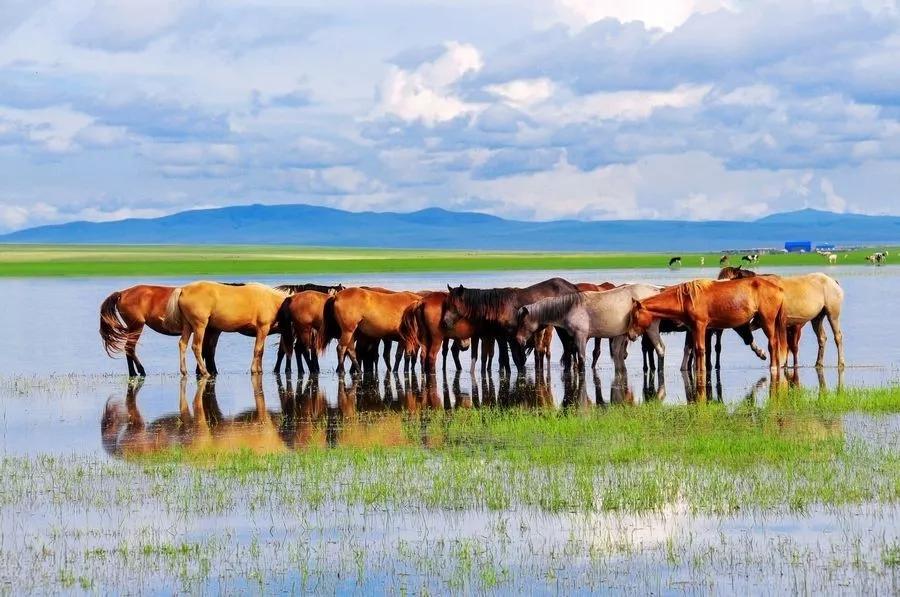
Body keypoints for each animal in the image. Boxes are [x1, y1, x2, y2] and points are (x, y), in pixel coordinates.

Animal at [444, 276, 584, 372]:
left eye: (454, 305)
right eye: (446, 304)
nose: (445, 321)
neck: (499, 307)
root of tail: (573, 287)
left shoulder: (513, 338)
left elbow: (518, 360)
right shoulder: (501, 338)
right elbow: (505, 359)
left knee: (569, 348)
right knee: (568, 348)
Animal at [510, 284, 664, 372]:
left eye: (523, 322)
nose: (518, 339)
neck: (570, 308)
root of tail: (657, 290)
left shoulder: (581, 337)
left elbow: (582, 359)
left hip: (650, 329)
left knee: (660, 349)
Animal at [624, 278, 788, 372]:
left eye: (634, 316)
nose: (630, 335)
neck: (686, 300)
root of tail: (779, 289)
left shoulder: (700, 327)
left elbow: (700, 350)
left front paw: (700, 370)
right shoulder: (693, 329)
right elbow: (696, 350)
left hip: (767, 321)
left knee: (773, 343)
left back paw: (773, 366)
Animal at [712, 266, 848, 368]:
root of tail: (832, 281)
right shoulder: (758, 322)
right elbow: (748, 334)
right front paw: (761, 353)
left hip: (832, 314)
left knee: (838, 336)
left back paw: (841, 363)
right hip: (817, 318)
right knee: (822, 338)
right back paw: (818, 363)